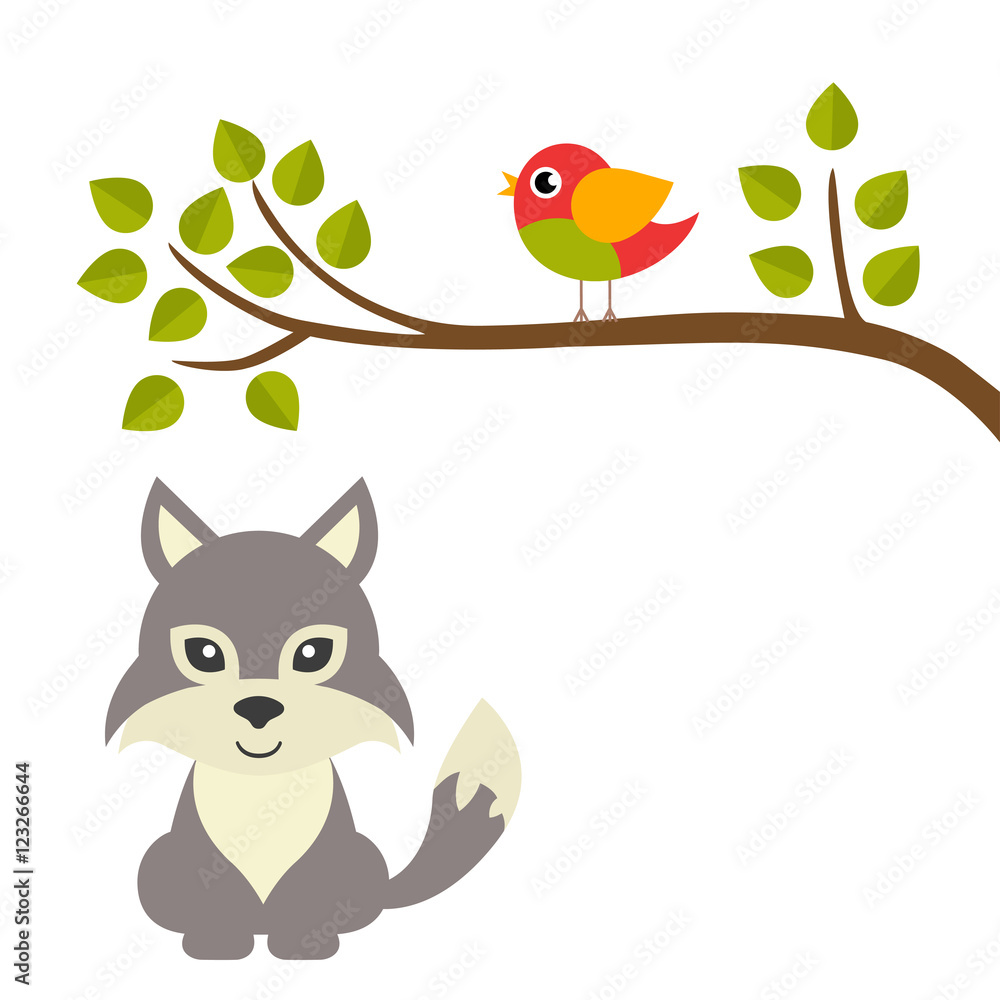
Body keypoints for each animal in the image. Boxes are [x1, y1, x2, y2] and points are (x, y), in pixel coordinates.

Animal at [105, 478, 521, 960]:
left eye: (312, 654)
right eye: (204, 654)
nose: (258, 707)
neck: (260, 786)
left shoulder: (323, 856)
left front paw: (304, 945)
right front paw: (218, 944)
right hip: (158, 860)